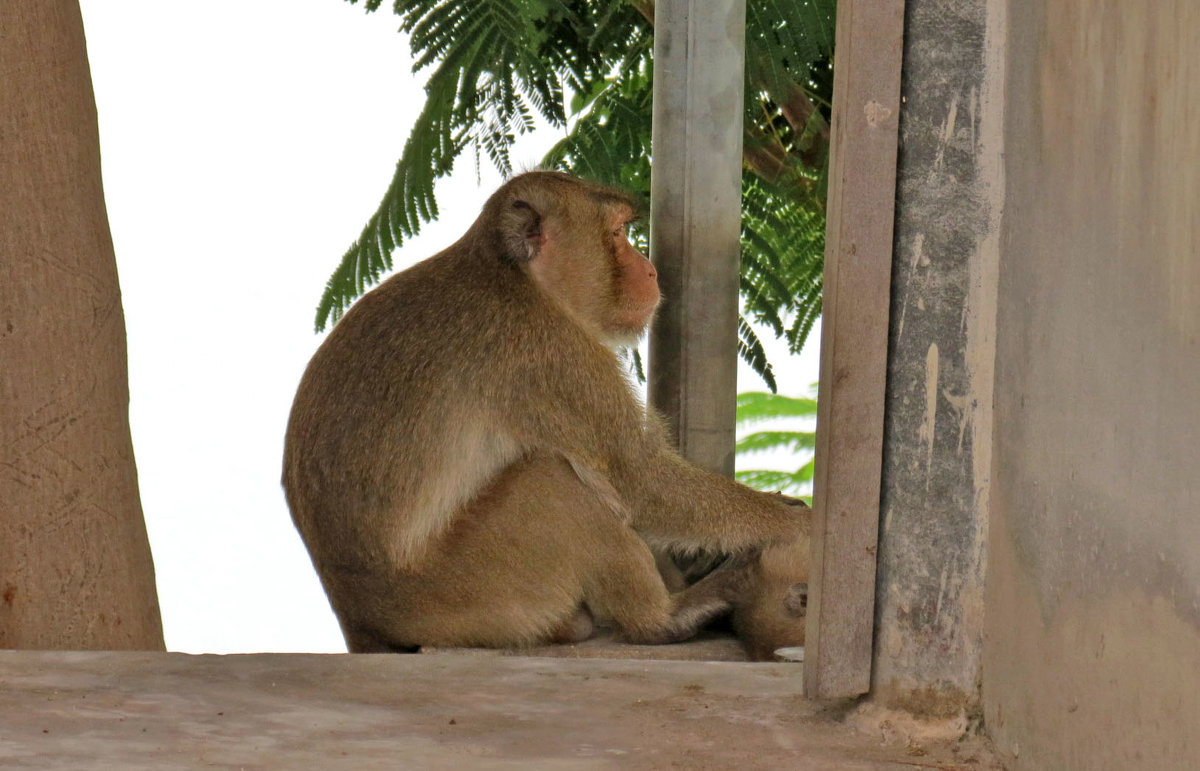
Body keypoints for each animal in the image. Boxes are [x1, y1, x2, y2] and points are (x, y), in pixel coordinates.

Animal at [280, 170, 806, 653]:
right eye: (618, 234)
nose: (651, 269)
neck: (518, 278)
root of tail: (361, 622)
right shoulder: (552, 353)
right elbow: (639, 477)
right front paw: (797, 523)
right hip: (463, 592)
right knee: (552, 478)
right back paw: (662, 618)